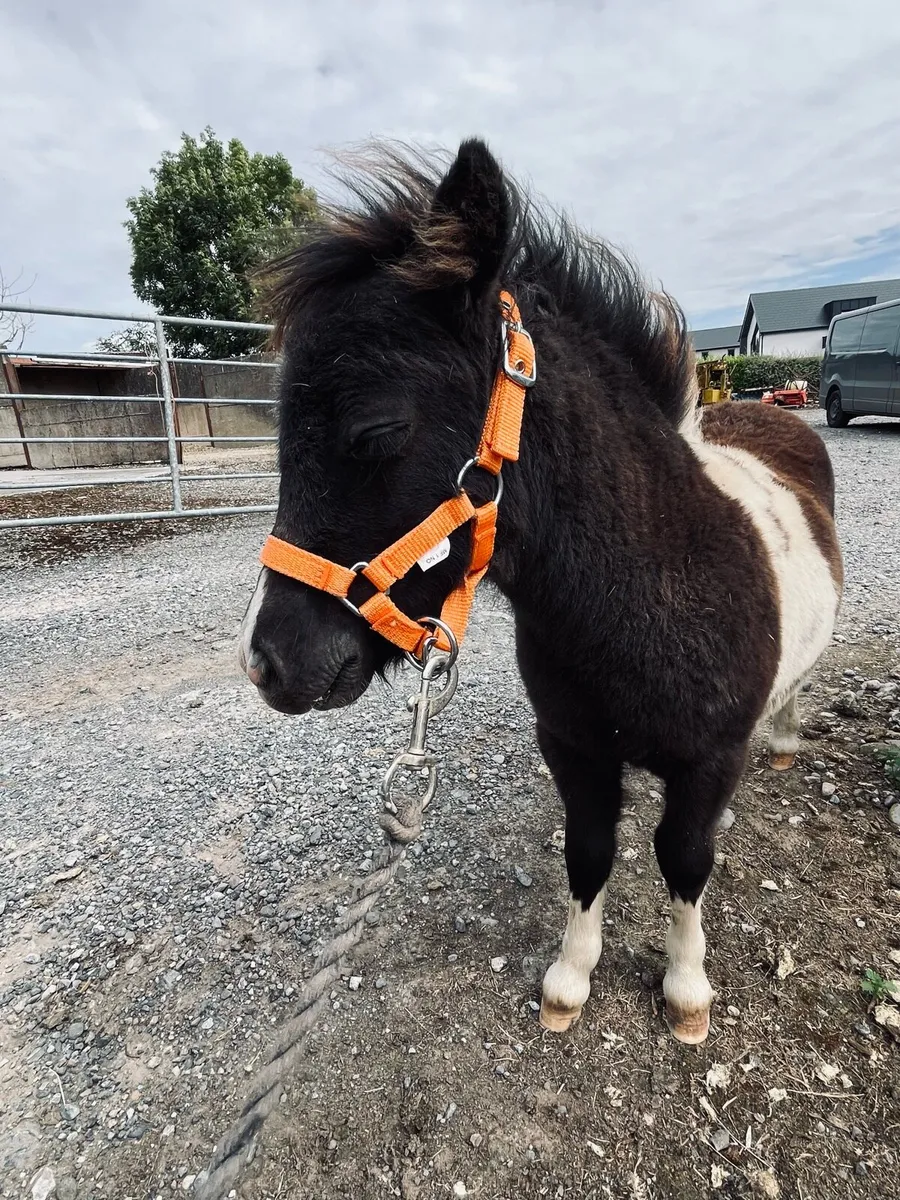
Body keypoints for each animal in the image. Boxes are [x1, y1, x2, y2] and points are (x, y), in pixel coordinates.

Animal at [238, 139, 842, 1044]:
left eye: (377, 430)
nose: (268, 663)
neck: (650, 594)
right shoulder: (574, 747)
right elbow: (590, 851)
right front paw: (569, 981)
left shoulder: (705, 761)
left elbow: (685, 859)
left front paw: (687, 993)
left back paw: (783, 738)